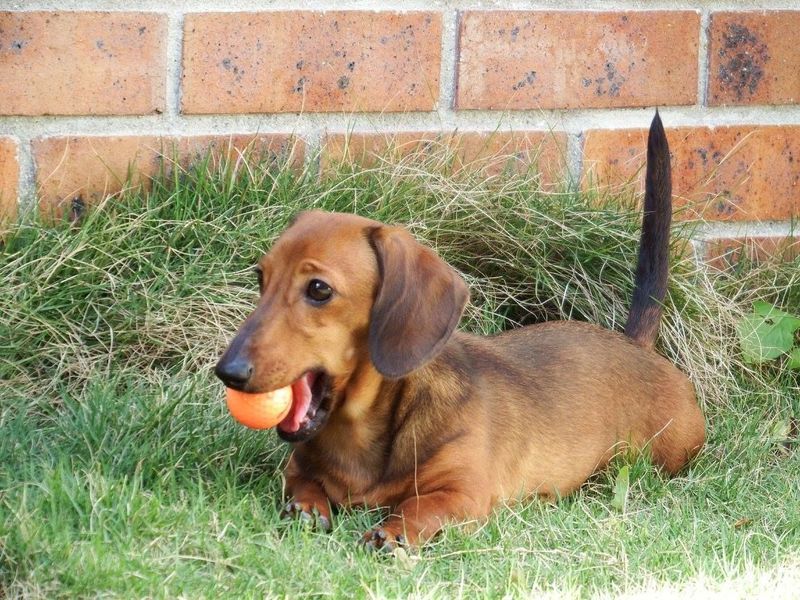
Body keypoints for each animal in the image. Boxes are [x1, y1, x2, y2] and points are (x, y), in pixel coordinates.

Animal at [215, 112, 705, 551]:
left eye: (318, 289)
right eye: (260, 278)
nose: (228, 372)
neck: (359, 434)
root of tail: (635, 344)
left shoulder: (464, 494)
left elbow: (420, 506)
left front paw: (393, 532)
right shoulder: (297, 468)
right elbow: (304, 485)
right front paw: (307, 506)